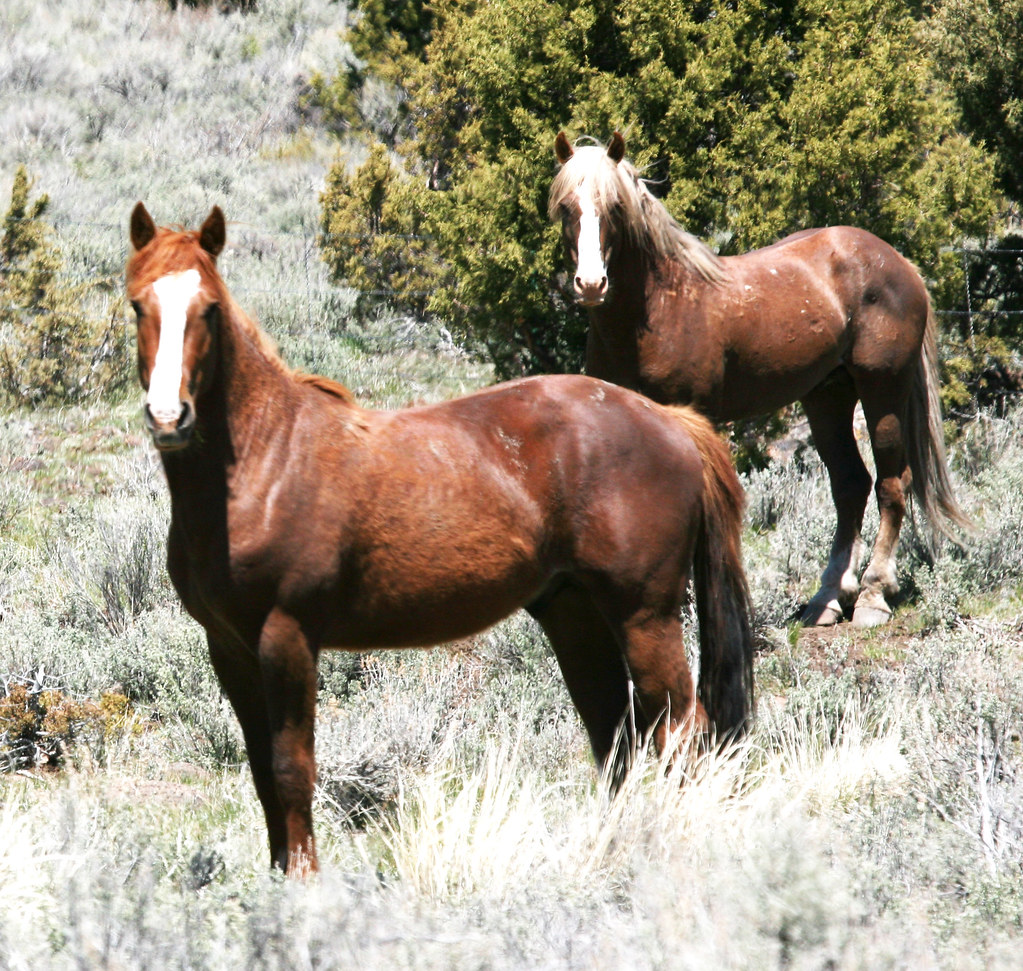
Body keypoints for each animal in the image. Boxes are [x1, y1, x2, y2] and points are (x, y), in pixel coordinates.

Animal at [126, 202, 755, 874]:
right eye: (138, 305)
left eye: (209, 309)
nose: (169, 417)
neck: (264, 459)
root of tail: (671, 421)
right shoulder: (229, 647)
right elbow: (264, 775)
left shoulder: (287, 638)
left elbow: (292, 770)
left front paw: (302, 881)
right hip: (575, 614)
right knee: (617, 738)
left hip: (646, 615)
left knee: (679, 729)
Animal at [550, 131, 970, 628]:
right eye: (566, 207)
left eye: (615, 206)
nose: (591, 283)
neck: (660, 307)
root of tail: (898, 263)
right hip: (827, 397)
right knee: (850, 485)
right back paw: (828, 599)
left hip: (882, 388)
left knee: (891, 483)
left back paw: (872, 594)